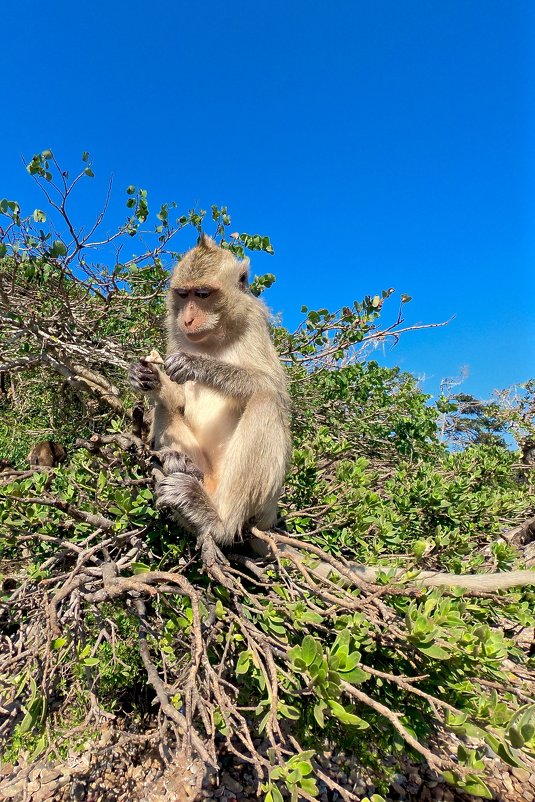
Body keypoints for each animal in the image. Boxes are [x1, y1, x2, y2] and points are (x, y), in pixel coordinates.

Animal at [128, 231, 292, 544]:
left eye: (203, 294)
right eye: (183, 294)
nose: (188, 319)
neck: (214, 336)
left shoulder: (254, 321)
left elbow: (272, 386)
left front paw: (195, 364)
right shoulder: (175, 331)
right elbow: (178, 400)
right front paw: (148, 377)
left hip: (264, 508)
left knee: (265, 401)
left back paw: (217, 519)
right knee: (167, 410)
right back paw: (183, 467)